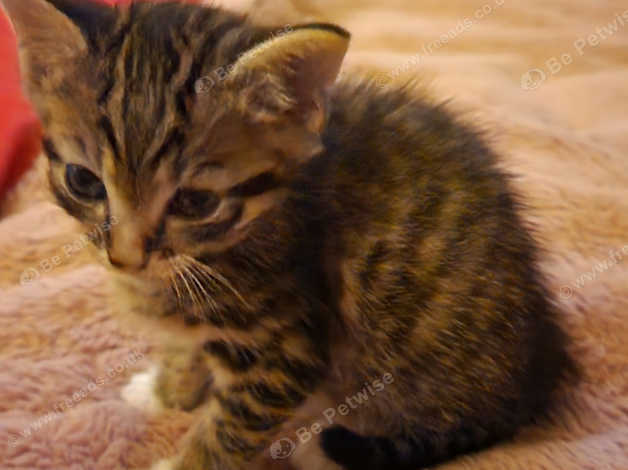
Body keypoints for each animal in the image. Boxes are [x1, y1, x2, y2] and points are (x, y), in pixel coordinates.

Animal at [2, 0, 576, 470]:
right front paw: (169, 391)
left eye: (195, 202)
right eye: (83, 181)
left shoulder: (285, 347)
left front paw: (188, 458)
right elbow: (189, 349)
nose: (125, 258)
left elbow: (231, 427)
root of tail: (540, 369)